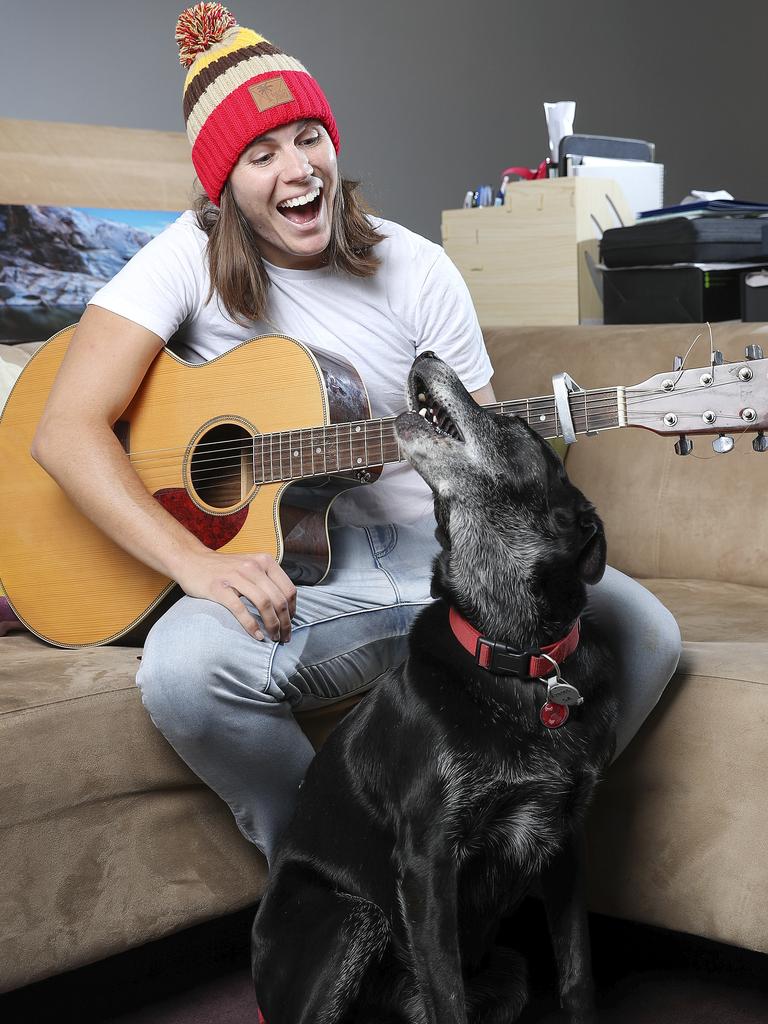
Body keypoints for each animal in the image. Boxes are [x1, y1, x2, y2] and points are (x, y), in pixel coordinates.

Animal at [252, 352, 618, 1024]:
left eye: (510, 423)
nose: (424, 356)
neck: (515, 656)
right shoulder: (428, 859)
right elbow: (446, 997)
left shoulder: (565, 843)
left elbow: (577, 970)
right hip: (353, 916)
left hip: (508, 971)